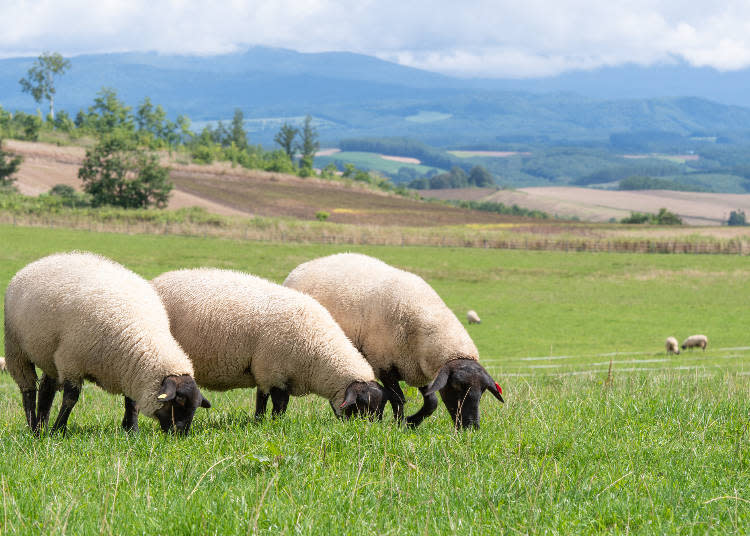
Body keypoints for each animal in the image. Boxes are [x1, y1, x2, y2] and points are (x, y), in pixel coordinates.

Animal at [3, 252, 212, 436]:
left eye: (195, 406)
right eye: (179, 401)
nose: (181, 434)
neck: (139, 334)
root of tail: (44, 260)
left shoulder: (130, 370)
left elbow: (132, 403)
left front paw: (132, 431)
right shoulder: (71, 361)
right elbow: (71, 398)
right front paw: (59, 430)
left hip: (49, 356)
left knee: (47, 389)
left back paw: (41, 427)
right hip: (16, 349)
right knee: (28, 389)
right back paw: (33, 427)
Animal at [151, 268, 390, 418]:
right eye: (363, 407)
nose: (368, 432)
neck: (317, 350)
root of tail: (156, 281)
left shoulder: (270, 372)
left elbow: (268, 401)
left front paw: (263, 421)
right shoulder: (273, 371)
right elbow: (275, 404)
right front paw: (269, 423)